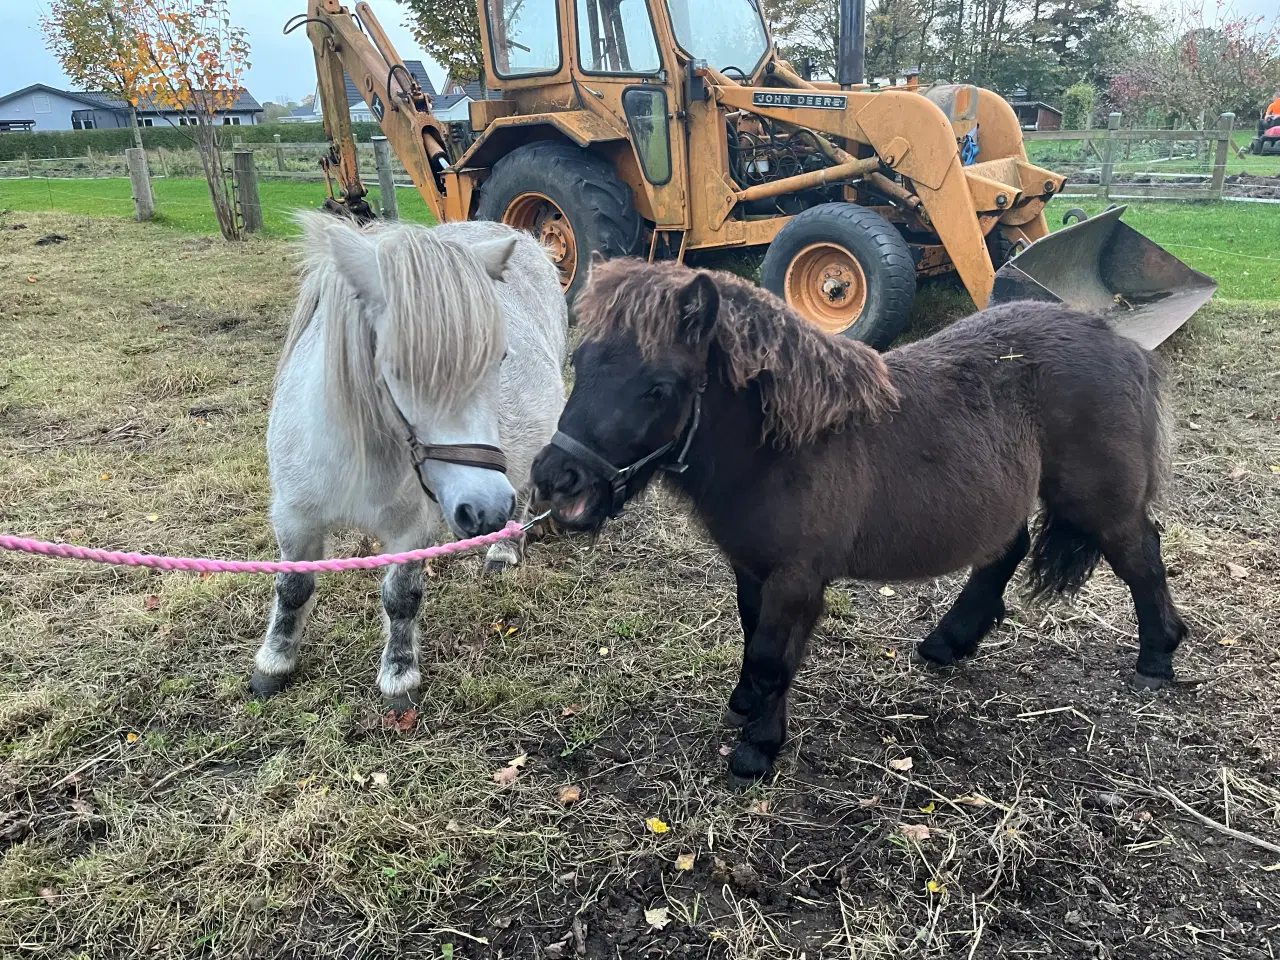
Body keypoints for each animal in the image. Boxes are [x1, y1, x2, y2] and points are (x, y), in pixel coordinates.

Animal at [249, 213, 565, 711]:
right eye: (395, 366)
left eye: (500, 357)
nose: (486, 508)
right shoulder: (295, 516)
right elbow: (293, 588)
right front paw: (275, 663)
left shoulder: (412, 531)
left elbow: (402, 598)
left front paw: (399, 677)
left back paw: (504, 547)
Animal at [529, 259, 1187, 783]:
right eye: (580, 361)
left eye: (658, 388)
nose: (557, 476)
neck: (785, 447)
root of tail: (1122, 344)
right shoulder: (753, 567)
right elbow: (755, 640)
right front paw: (746, 706)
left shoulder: (797, 577)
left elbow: (772, 654)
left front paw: (758, 748)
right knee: (1007, 551)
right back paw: (948, 642)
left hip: (1101, 503)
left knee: (1141, 556)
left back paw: (1158, 658)